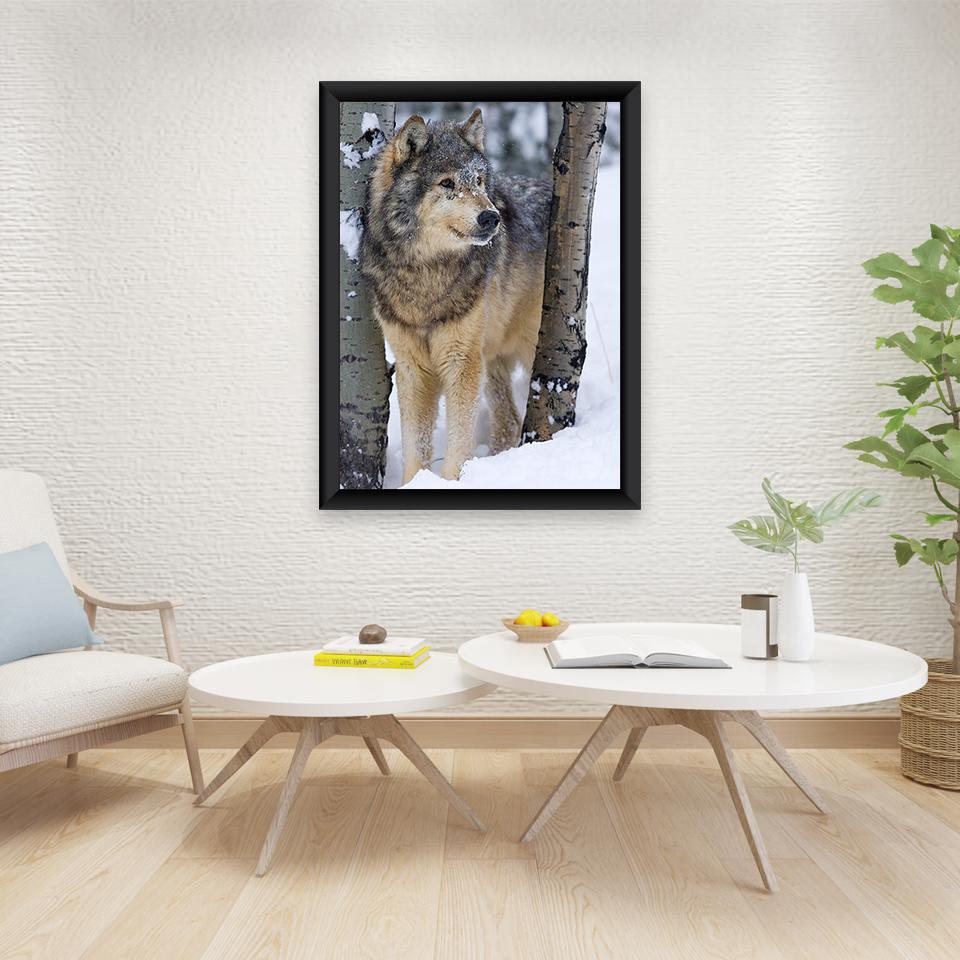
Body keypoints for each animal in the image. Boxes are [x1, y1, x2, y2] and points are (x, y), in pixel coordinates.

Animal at [361, 108, 551, 484]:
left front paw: (450, 480)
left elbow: (460, 439)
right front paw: (414, 483)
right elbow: (416, 443)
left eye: (478, 181)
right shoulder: (412, 366)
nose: (491, 217)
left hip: (525, 349)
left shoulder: (461, 359)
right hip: (490, 359)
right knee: (509, 421)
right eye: (447, 184)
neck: (426, 274)